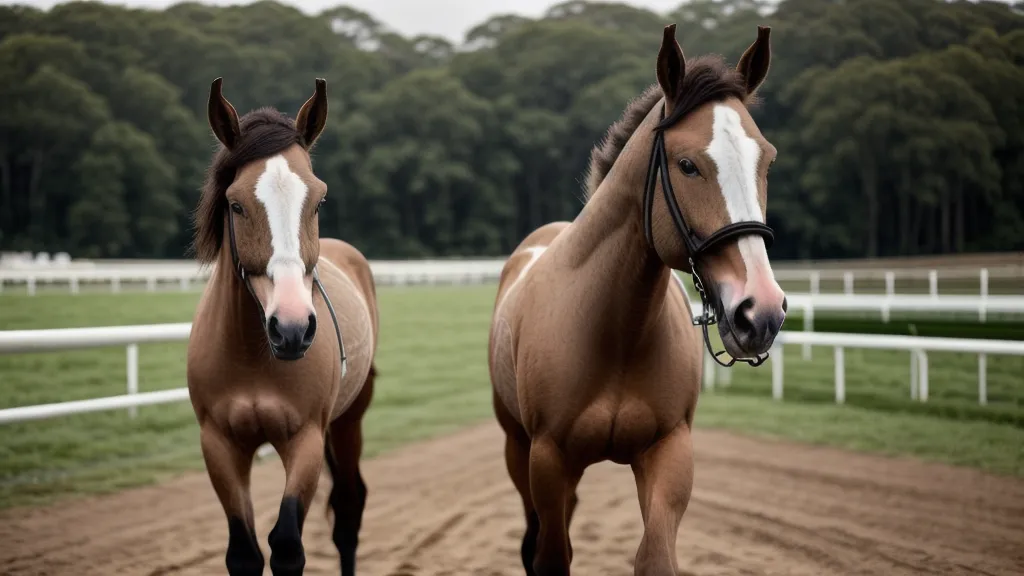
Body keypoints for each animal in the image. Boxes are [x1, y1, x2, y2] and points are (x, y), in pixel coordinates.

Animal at [187, 77, 379, 576]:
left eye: (319, 199)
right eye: (235, 204)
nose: (291, 328)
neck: (253, 357)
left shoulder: (306, 439)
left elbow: (288, 544)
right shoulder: (220, 444)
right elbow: (244, 551)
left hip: (349, 420)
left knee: (349, 509)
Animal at [488, 24, 787, 575]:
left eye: (767, 159)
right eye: (687, 165)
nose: (760, 311)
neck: (615, 332)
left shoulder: (669, 451)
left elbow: (655, 556)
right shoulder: (547, 460)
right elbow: (551, 555)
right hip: (517, 448)